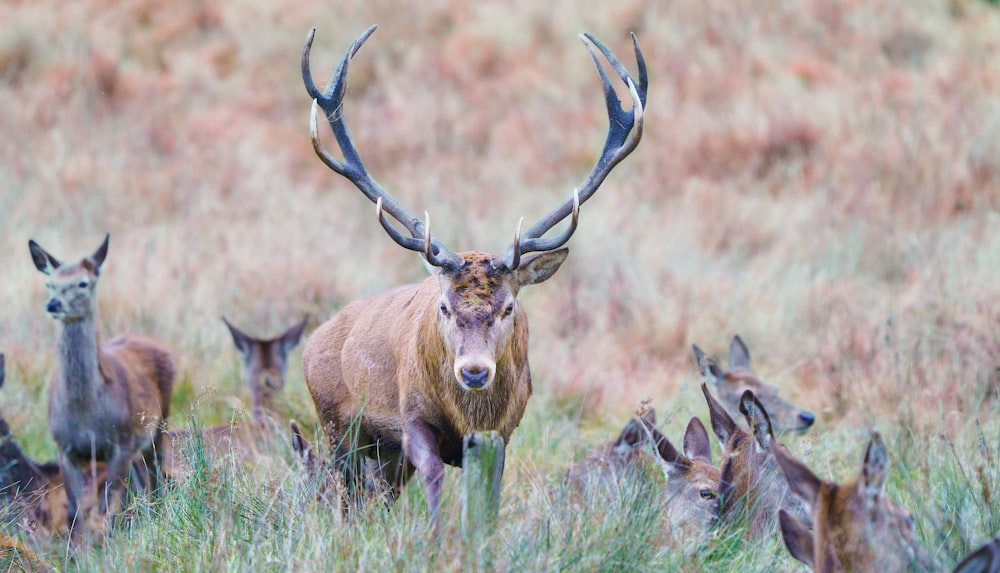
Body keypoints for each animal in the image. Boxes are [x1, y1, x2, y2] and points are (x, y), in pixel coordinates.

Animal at [27, 233, 175, 536]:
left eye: (83, 283)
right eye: (50, 284)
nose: (53, 304)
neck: (85, 410)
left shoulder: (121, 441)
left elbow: (105, 507)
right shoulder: (64, 448)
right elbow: (75, 512)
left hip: (159, 424)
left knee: (155, 479)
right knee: (140, 483)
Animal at [298, 24, 640, 520]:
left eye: (509, 308)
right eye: (443, 306)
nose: (474, 372)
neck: (467, 417)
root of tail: (313, 341)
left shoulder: (501, 434)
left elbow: (487, 503)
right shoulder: (412, 417)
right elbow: (436, 481)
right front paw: (436, 536)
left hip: (382, 455)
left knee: (376, 496)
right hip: (336, 425)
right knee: (345, 493)